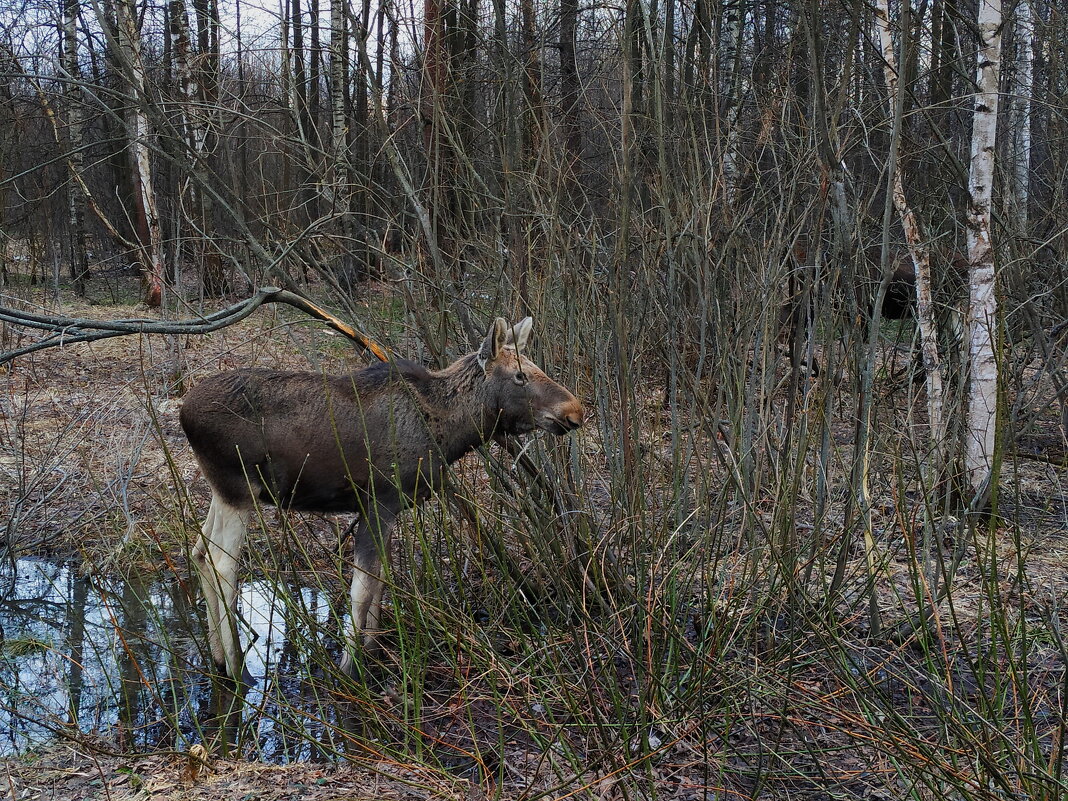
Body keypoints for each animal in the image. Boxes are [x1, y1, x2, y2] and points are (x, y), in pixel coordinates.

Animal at [183, 316, 585, 679]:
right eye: (520, 376)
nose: (575, 411)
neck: (450, 433)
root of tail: (184, 415)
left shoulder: (390, 508)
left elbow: (379, 583)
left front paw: (372, 652)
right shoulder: (379, 502)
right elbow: (362, 590)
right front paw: (350, 669)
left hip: (222, 490)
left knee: (199, 550)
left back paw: (217, 658)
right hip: (241, 490)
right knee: (223, 565)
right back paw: (237, 668)